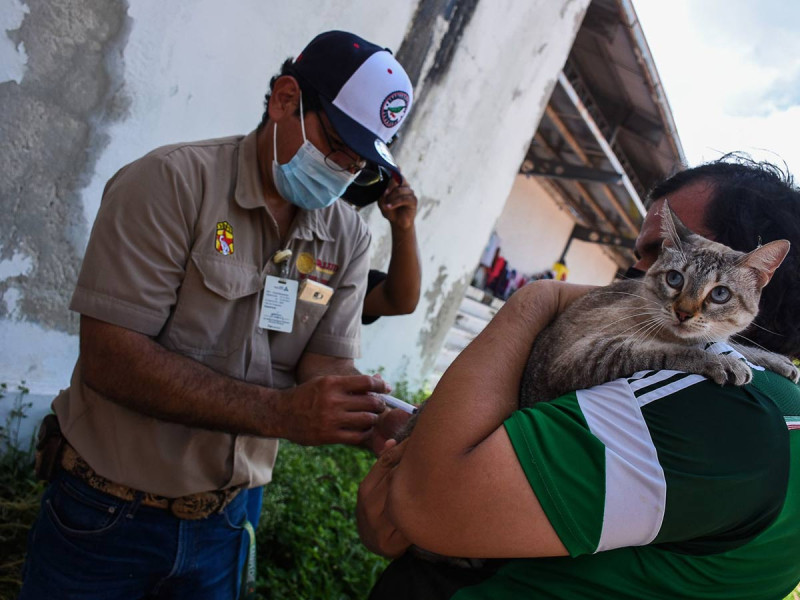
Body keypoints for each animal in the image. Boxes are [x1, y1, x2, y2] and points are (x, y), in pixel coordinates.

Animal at [520, 203, 796, 408]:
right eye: (674, 279)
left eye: (720, 294)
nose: (683, 313)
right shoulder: (580, 357)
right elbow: (667, 351)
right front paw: (725, 363)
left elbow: (738, 346)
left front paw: (779, 362)